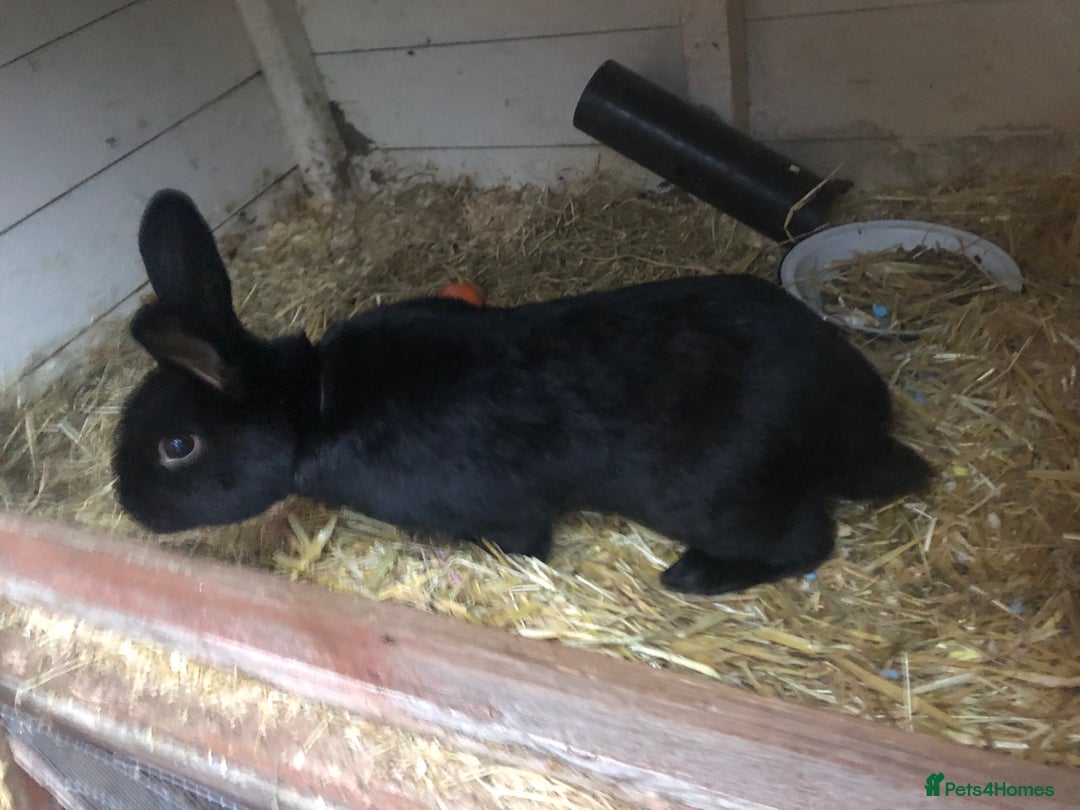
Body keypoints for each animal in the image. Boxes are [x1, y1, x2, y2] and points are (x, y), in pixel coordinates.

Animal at [113, 189, 932, 595]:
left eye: (178, 446)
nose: (129, 506)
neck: (314, 403)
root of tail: (860, 423)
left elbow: (523, 542)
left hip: (719, 500)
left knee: (807, 540)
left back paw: (696, 576)